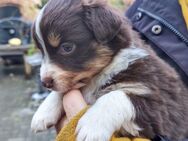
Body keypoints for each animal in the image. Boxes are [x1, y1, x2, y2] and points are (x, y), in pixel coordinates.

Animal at [31, 0, 188, 141]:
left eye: (67, 47)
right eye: (41, 51)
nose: (45, 83)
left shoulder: (159, 106)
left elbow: (116, 96)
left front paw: (92, 126)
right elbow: (63, 90)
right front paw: (43, 112)